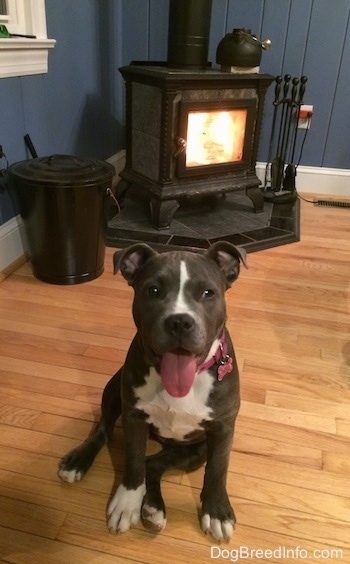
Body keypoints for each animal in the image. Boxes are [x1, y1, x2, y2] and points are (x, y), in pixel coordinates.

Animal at [58, 240, 246, 540]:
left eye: (208, 292)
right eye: (153, 290)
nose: (179, 321)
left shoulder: (223, 428)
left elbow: (218, 468)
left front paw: (216, 512)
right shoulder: (134, 416)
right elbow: (134, 460)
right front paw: (126, 503)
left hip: (195, 450)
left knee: (155, 464)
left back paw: (153, 509)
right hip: (114, 388)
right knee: (104, 428)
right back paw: (78, 461)